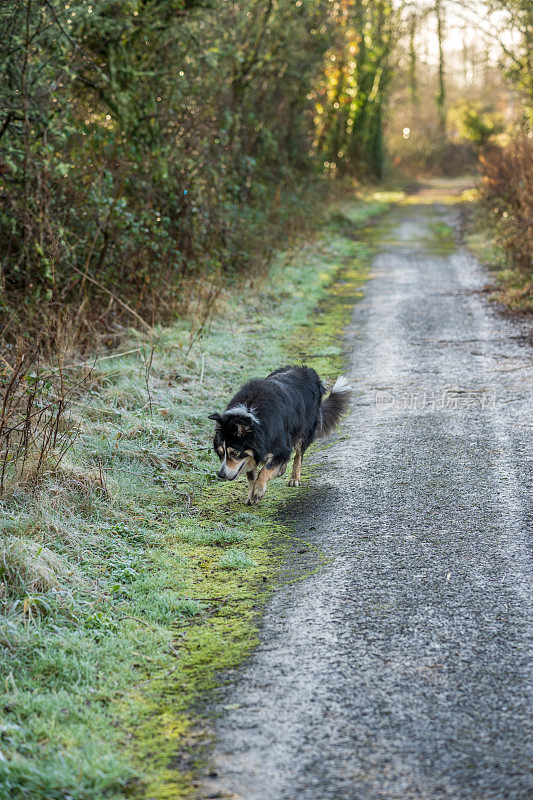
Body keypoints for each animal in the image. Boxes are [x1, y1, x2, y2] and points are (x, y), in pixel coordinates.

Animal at [208, 364, 350, 504]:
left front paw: (258, 491)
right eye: (220, 453)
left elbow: (265, 470)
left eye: (234, 452)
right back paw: (281, 470)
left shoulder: (279, 444)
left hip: (304, 428)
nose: (221, 475)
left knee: (298, 454)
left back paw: (294, 478)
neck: (252, 416)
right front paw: (251, 495)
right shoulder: (253, 454)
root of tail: (307, 369)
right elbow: (251, 476)